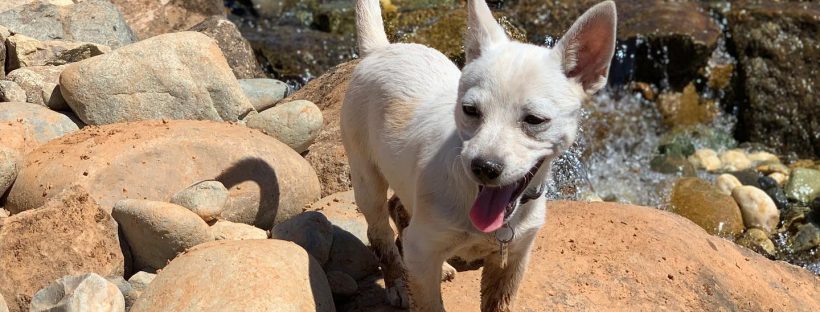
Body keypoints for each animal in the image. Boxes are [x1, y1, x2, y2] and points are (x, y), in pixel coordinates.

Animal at [340, 1, 616, 310]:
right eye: (469, 110)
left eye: (534, 120)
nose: (484, 167)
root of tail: (381, 49)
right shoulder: (424, 253)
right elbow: (429, 301)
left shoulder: (513, 258)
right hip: (365, 175)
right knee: (379, 230)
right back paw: (398, 281)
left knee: (399, 207)